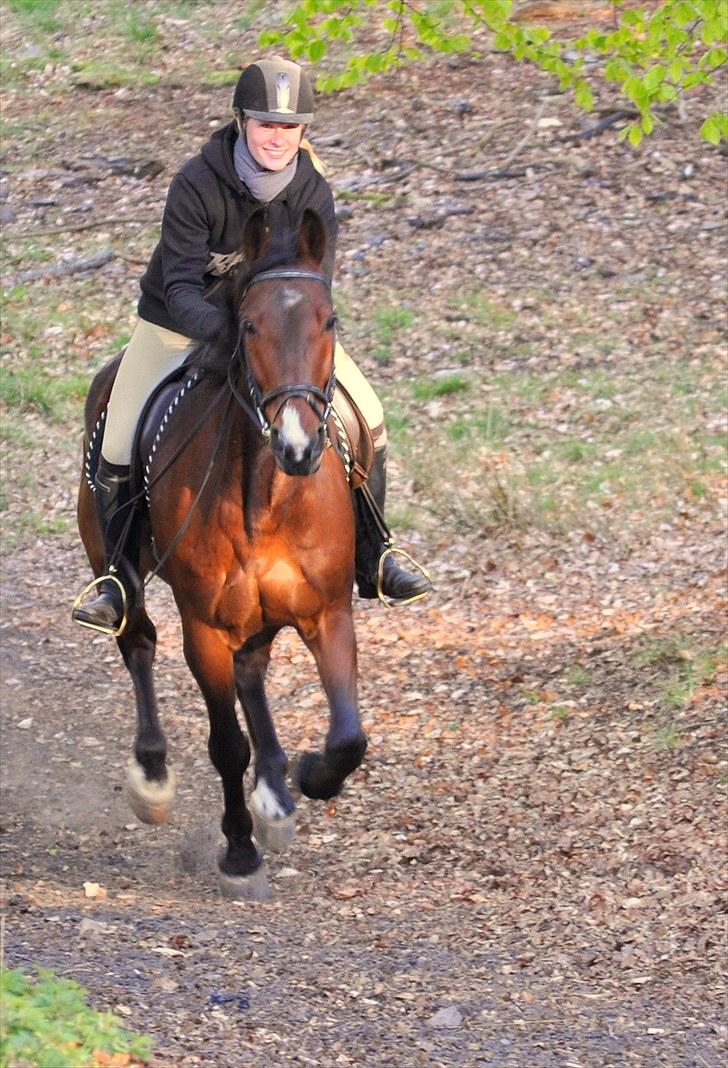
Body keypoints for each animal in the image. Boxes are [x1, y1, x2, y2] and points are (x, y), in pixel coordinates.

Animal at [75, 208, 362, 901]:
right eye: (250, 324)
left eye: (330, 321)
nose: (298, 446)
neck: (268, 494)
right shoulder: (203, 626)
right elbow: (226, 744)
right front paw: (238, 852)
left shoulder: (328, 613)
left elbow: (348, 737)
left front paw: (307, 776)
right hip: (116, 566)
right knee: (138, 641)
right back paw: (154, 778)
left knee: (252, 670)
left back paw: (276, 794)